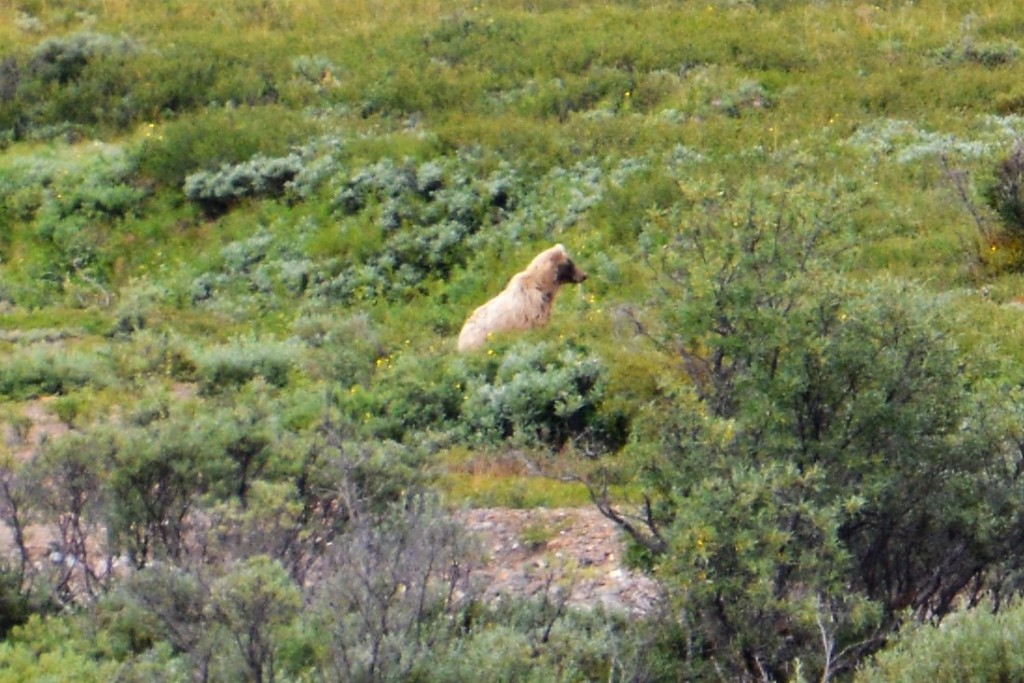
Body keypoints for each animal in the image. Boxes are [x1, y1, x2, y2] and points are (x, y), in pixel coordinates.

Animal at [458, 244, 589, 352]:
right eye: (569, 263)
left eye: (570, 260)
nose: (584, 275)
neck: (541, 286)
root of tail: (459, 342)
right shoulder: (532, 310)